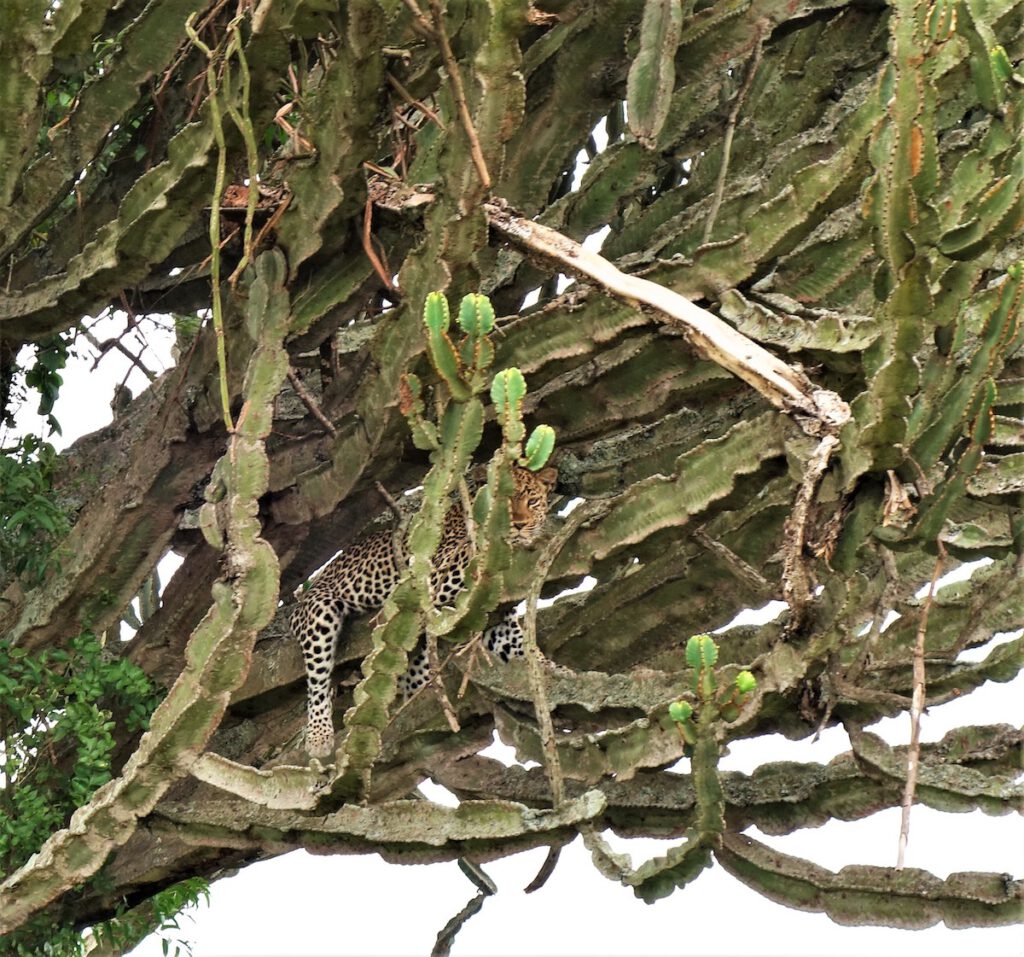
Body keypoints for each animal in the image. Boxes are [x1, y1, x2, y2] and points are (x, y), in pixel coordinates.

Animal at [290, 465, 558, 757]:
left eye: (532, 501)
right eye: (505, 500)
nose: (520, 525)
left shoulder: (492, 618)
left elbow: (522, 646)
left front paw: (552, 673)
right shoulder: (438, 575)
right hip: (319, 612)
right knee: (318, 681)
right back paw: (319, 735)